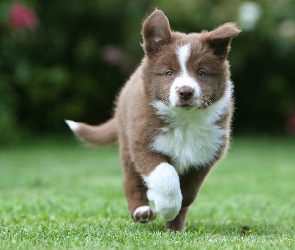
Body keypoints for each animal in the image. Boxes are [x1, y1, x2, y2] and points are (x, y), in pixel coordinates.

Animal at [66, 9, 240, 232]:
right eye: (169, 73)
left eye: (201, 73)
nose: (186, 92)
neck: (184, 120)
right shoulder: (143, 142)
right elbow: (165, 174)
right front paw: (166, 205)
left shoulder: (206, 153)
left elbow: (188, 192)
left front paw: (172, 213)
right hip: (126, 143)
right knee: (131, 181)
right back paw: (141, 210)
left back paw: (174, 226)